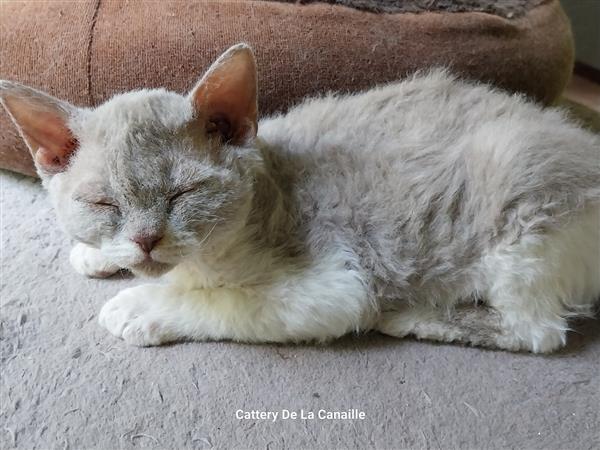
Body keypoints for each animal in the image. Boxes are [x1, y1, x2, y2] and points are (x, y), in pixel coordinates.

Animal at [1, 44, 600, 354]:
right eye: (103, 203)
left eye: (184, 192)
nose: (147, 240)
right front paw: (96, 255)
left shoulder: (335, 284)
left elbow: (219, 303)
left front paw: (139, 307)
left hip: (521, 216)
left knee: (539, 332)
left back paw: (412, 315)